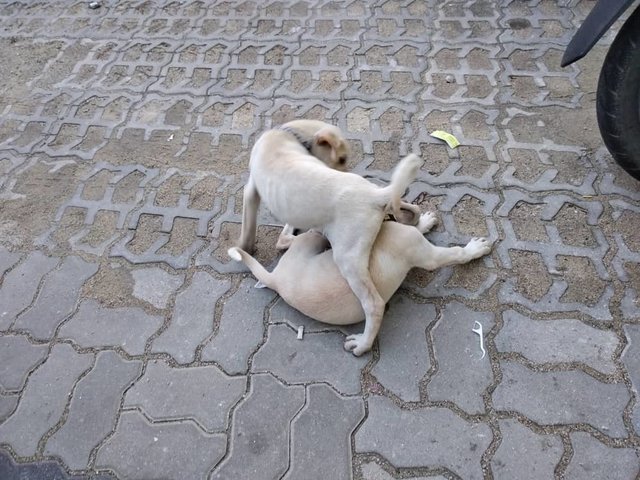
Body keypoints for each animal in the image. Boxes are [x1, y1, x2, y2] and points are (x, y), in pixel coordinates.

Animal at [229, 213, 490, 344]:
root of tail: (276, 279)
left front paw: (424, 221)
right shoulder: (425, 253)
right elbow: (454, 253)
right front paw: (473, 249)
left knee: (289, 241)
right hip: (309, 241)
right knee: (285, 240)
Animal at [238, 118, 422, 354]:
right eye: (342, 159)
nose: (345, 169)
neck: (287, 135)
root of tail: (372, 195)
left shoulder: (251, 191)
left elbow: (248, 226)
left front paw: (245, 247)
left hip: (348, 259)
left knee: (373, 304)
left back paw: (363, 344)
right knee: (409, 209)